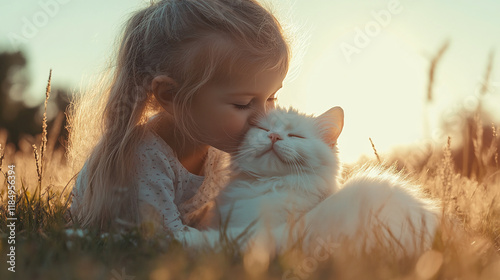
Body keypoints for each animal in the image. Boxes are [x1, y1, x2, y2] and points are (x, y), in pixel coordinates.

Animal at [174, 105, 440, 258]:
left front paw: (180, 236)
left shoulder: (266, 233)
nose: (274, 136)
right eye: (264, 129)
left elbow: (217, 238)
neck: (267, 184)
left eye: (295, 136)